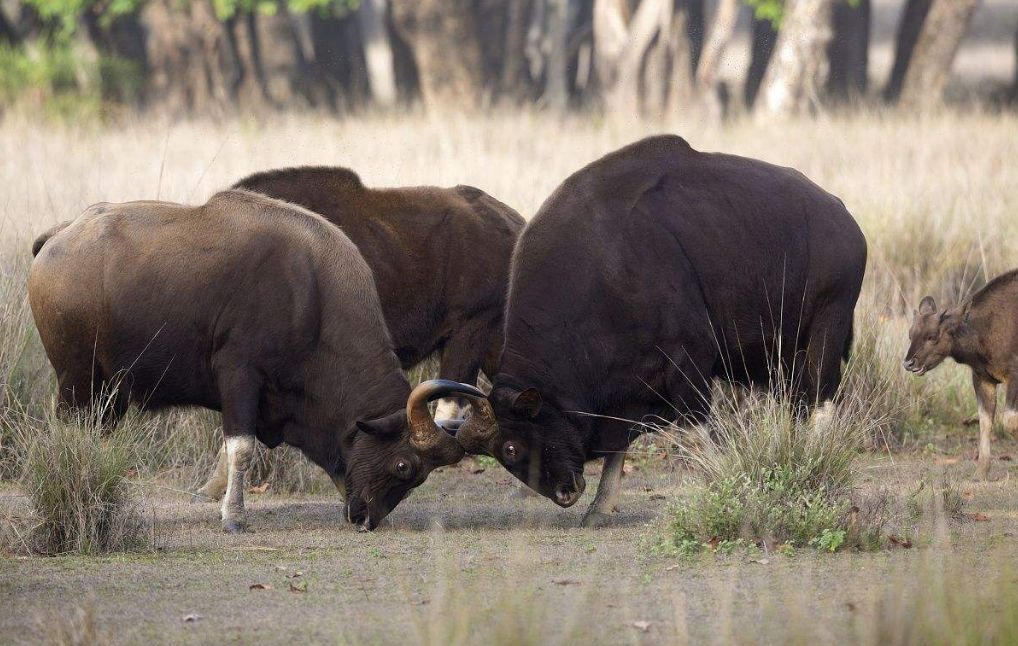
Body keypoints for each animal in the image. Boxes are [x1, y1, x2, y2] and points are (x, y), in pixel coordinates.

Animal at [29, 189, 486, 533]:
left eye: (420, 477)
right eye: (404, 466)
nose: (366, 519)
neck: (311, 298)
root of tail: (60, 235)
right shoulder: (239, 377)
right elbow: (242, 448)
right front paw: (233, 516)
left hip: (108, 394)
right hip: (75, 379)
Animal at [460, 135, 867, 524]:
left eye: (511, 447)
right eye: (503, 456)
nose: (564, 493)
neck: (605, 270)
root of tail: (842, 216)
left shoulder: (688, 364)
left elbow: (699, 430)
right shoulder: (624, 389)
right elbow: (618, 445)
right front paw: (600, 507)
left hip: (825, 334)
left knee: (821, 398)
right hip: (783, 356)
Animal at [912, 268, 1018, 480]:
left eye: (932, 336)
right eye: (910, 334)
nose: (909, 362)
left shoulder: (1015, 374)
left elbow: (1010, 421)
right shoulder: (983, 379)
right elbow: (985, 421)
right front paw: (981, 472)